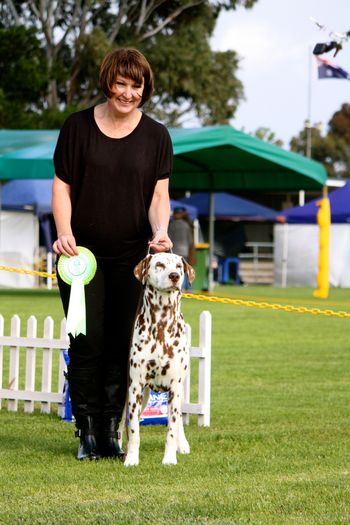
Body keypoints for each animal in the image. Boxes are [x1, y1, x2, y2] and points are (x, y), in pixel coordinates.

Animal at [123, 252, 194, 464]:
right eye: (160, 265)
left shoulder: (175, 388)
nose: (174, 276)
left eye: (178, 266)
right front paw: (131, 458)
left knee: (178, 422)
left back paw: (182, 444)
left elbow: (171, 429)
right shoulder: (136, 387)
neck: (161, 326)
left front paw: (169, 459)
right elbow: (134, 430)